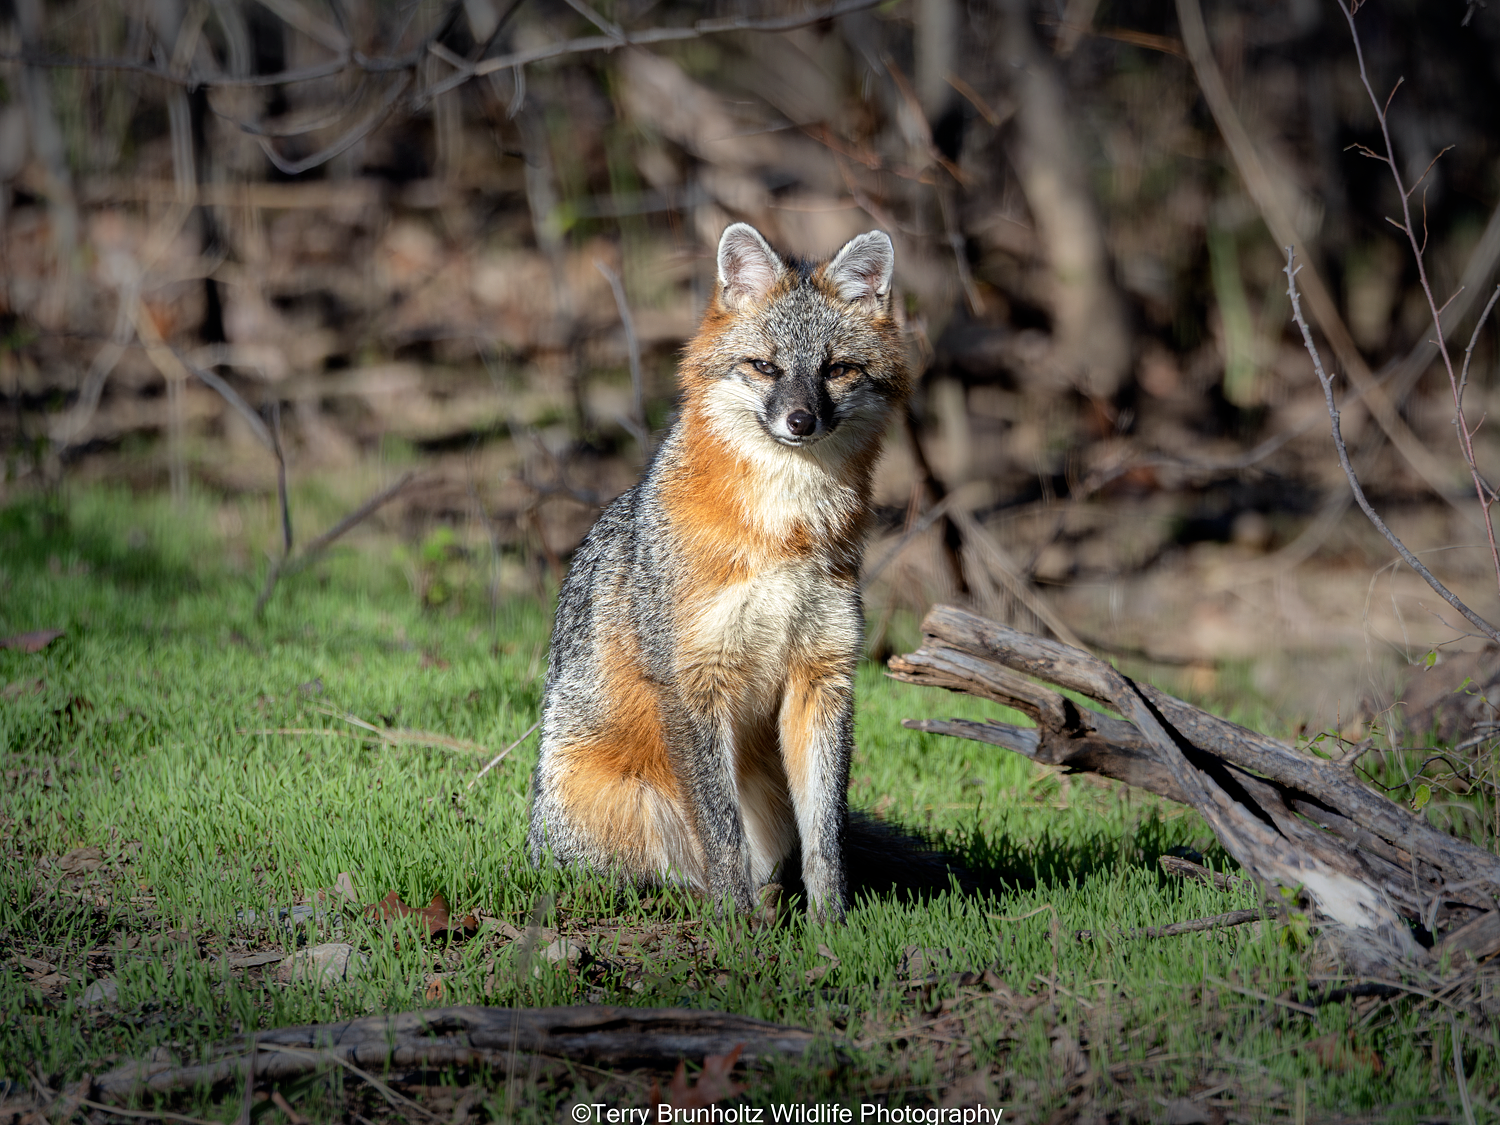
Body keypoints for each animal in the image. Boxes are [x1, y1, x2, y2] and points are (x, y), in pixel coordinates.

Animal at [525, 222, 912, 920]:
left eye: (838, 370)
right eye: (765, 366)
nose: (800, 421)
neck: (785, 534)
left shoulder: (824, 676)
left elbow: (827, 836)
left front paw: (833, 925)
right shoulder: (694, 678)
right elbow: (722, 830)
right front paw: (737, 926)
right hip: (634, 810)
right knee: (670, 874)